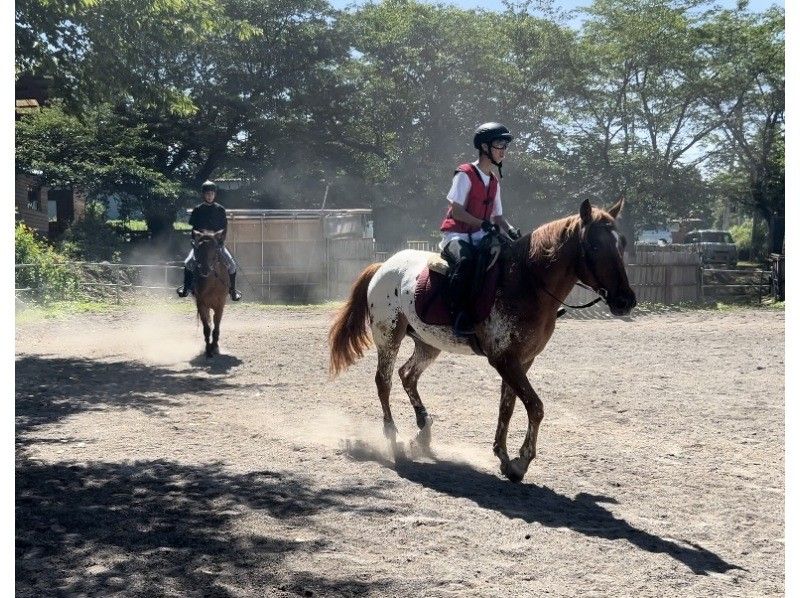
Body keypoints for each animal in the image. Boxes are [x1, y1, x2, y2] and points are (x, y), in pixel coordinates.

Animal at [193, 230, 230, 358]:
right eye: (198, 248)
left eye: (214, 248)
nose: (205, 269)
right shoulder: (201, 305)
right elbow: (207, 328)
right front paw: (208, 350)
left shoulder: (220, 306)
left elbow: (216, 328)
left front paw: (215, 347)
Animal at [328, 199, 636, 486]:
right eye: (594, 246)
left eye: (621, 243)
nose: (626, 300)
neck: (526, 283)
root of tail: (385, 265)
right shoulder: (504, 360)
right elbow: (535, 407)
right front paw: (521, 461)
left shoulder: (521, 361)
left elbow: (507, 407)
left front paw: (504, 457)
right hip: (389, 336)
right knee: (384, 381)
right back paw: (393, 439)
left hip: (428, 343)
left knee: (408, 375)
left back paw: (424, 429)